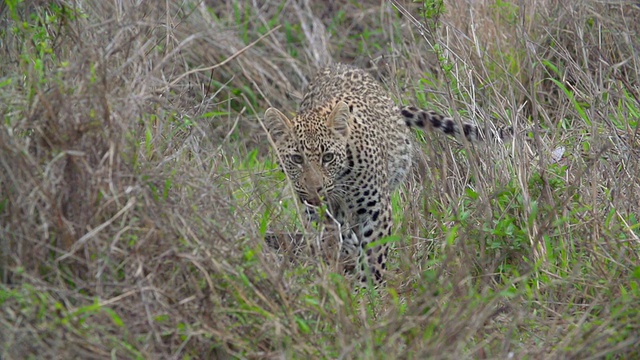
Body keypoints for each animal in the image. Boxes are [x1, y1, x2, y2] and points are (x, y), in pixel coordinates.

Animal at [262, 62, 512, 286]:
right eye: (297, 159)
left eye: (328, 157)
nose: (315, 189)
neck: (342, 180)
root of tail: (338, 65)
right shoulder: (319, 210)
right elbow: (333, 234)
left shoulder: (376, 210)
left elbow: (373, 256)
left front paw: (367, 293)